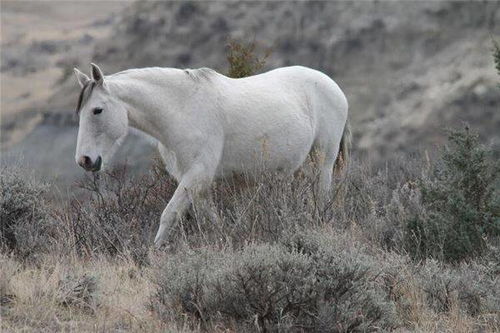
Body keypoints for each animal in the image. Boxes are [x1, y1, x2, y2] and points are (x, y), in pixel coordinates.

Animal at [73, 63, 348, 245]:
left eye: (97, 110)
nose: (84, 160)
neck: (182, 108)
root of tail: (332, 85)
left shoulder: (197, 175)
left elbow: (169, 214)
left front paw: (154, 255)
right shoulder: (195, 181)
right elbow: (211, 219)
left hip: (323, 161)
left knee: (321, 196)